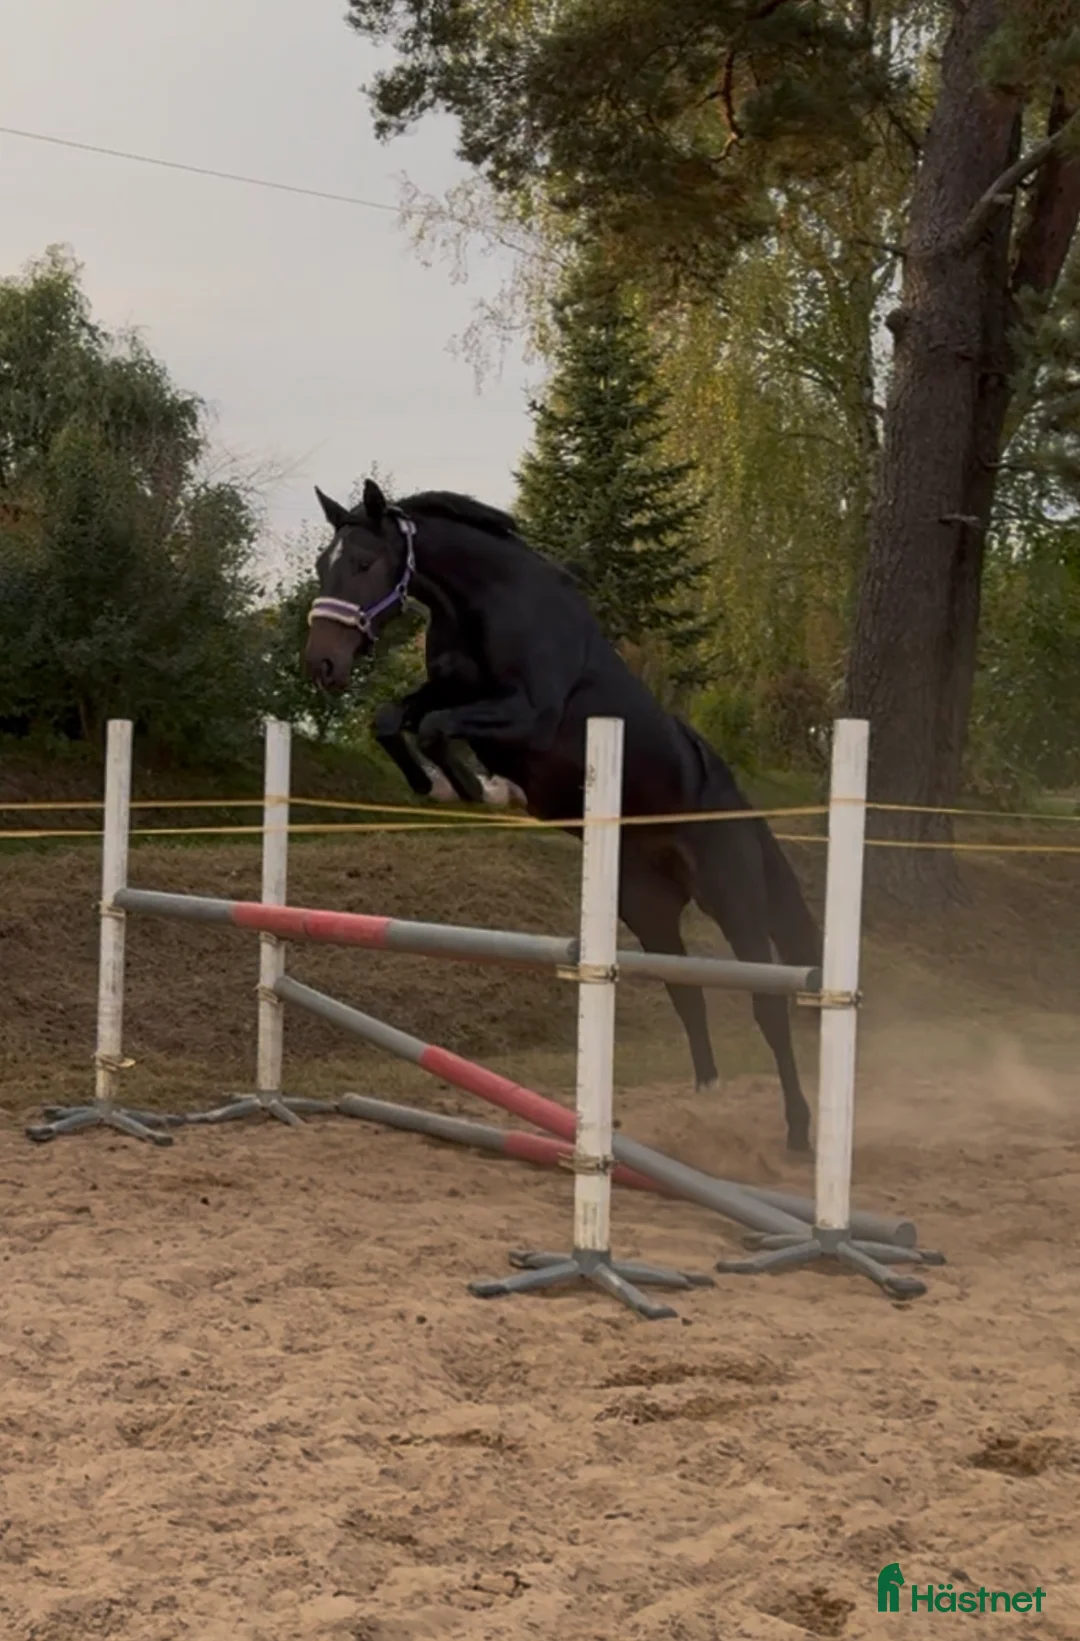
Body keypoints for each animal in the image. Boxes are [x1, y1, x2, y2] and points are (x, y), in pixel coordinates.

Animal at [303, 479, 821, 1153]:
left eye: (364, 562)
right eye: (324, 564)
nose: (322, 665)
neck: (486, 605)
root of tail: (744, 810)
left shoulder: (529, 718)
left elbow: (439, 726)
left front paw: (475, 788)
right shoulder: (448, 692)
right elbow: (395, 718)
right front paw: (435, 784)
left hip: (734, 902)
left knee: (767, 1003)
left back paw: (799, 1133)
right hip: (647, 907)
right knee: (687, 990)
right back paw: (706, 1104)